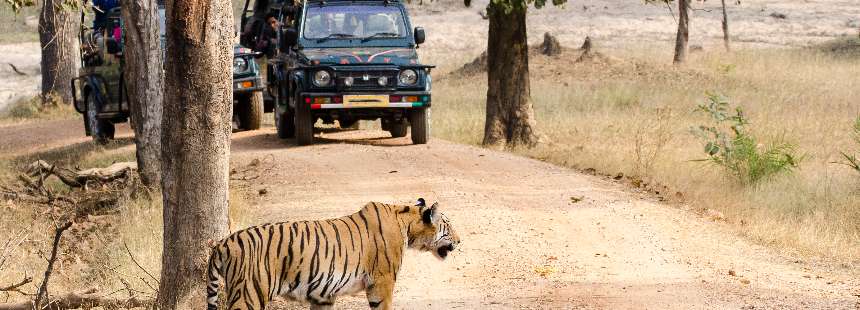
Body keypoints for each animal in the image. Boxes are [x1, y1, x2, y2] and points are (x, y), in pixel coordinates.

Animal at [206, 199, 460, 310]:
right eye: (448, 225)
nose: (459, 241)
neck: (406, 223)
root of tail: (223, 243)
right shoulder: (382, 282)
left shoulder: (323, 294)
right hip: (248, 294)